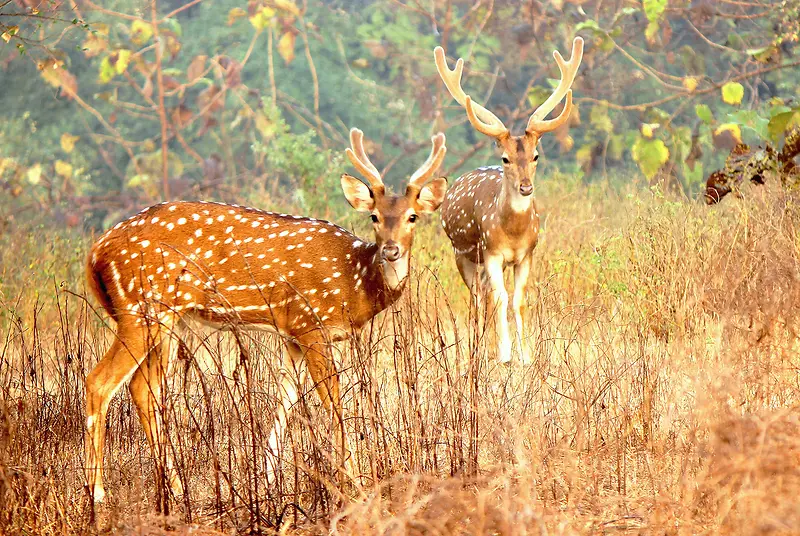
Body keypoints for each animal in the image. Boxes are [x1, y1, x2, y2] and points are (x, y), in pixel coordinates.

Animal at [86, 127, 450, 500]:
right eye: (374, 216)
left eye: (412, 216)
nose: (391, 250)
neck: (356, 285)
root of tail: (96, 252)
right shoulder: (311, 322)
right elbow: (333, 403)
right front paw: (354, 483)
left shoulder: (292, 333)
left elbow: (284, 400)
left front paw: (269, 480)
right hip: (140, 308)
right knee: (98, 381)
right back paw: (97, 491)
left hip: (170, 321)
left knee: (143, 389)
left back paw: (174, 487)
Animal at [434, 38, 584, 364]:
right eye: (505, 158)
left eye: (536, 155)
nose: (526, 187)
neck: (513, 233)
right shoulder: (491, 252)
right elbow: (500, 298)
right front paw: (504, 352)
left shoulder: (526, 254)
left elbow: (519, 299)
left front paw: (525, 355)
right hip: (462, 253)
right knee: (478, 298)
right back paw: (478, 348)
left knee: (486, 294)